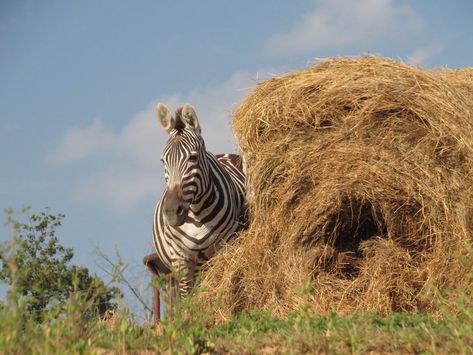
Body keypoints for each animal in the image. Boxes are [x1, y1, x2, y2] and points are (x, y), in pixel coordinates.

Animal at [151, 103, 247, 298]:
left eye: (193, 157)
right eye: (163, 160)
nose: (171, 213)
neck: (196, 212)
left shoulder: (226, 244)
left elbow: (219, 286)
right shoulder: (180, 257)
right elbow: (188, 299)